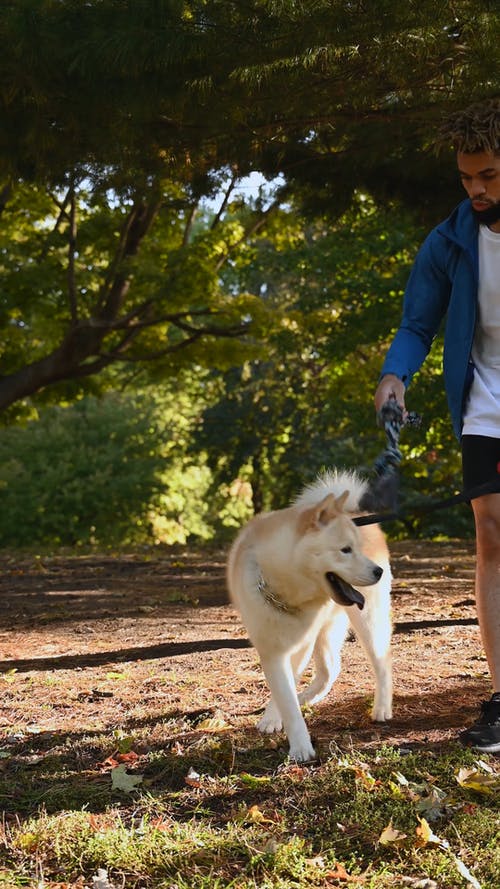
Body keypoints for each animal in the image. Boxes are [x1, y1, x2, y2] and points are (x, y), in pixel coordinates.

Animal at [228, 468, 394, 760]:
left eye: (357, 547)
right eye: (345, 550)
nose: (378, 571)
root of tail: (358, 514)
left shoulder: (299, 645)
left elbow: (286, 692)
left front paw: (298, 744)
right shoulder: (272, 649)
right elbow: (284, 694)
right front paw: (283, 723)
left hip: (367, 622)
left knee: (382, 662)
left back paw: (382, 707)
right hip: (326, 633)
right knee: (330, 670)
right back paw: (306, 697)